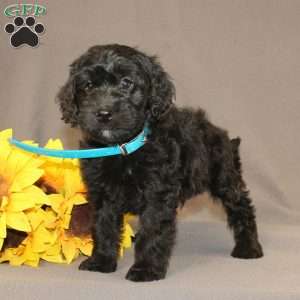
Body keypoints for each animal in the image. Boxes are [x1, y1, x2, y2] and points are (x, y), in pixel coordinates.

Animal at [56, 44, 262, 282]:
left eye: (126, 82)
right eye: (88, 86)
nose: (104, 113)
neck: (123, 148)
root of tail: (221, 134)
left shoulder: (157, 193)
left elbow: (152, 230)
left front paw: (146, 269)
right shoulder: (102, 192)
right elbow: (103, 225)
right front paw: (101, 261)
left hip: (224, 178)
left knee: (242, 207)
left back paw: (249, 248)